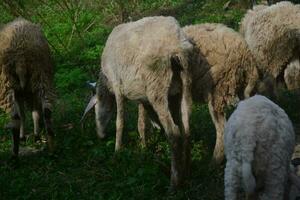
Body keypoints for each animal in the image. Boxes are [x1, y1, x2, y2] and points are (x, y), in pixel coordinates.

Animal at [0, 18, 55, 156]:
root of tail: (20, 57)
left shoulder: (20, 92)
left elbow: (23, 114)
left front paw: (23, 136)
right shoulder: (26, 91)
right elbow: (34, 112)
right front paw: (36, 136)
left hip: (6, 85)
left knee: (15, 118)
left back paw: (15, 153)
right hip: (42, 76)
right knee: (46, 111)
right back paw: (51, 146)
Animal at [82, 16, 195, 189]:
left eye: (96, 108)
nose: (100, 136)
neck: (106, 84)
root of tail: (176, 44)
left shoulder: (117, 87)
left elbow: (119, 123)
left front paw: (117, 151)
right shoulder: (142, 97)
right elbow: (141, 124)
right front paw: (143, 148)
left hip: (157, 88)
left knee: (174, 133)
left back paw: (174, 182)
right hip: (183, 87)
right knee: (186, 130)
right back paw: (187, 174)